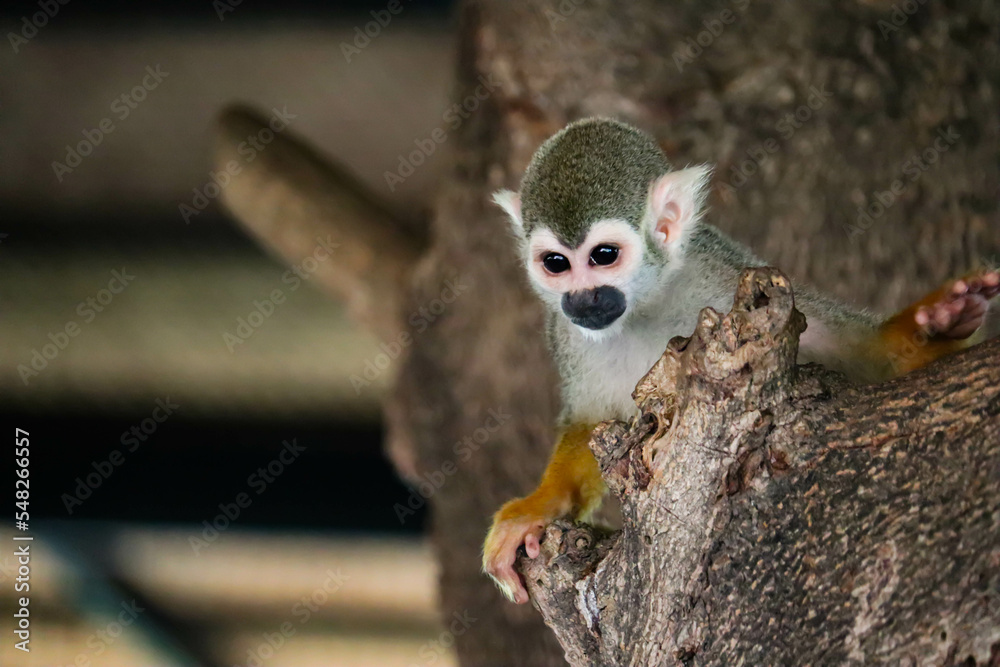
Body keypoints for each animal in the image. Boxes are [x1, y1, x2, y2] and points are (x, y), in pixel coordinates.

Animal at [482, 117, 1000, 604]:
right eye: (556, 263)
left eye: (604, 255)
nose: (583, 300)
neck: (643, 306)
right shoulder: (565, 334)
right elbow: (589, 424)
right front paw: (538, 508)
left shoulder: (723, 273)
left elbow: (846, 351)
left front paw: (931, 326)